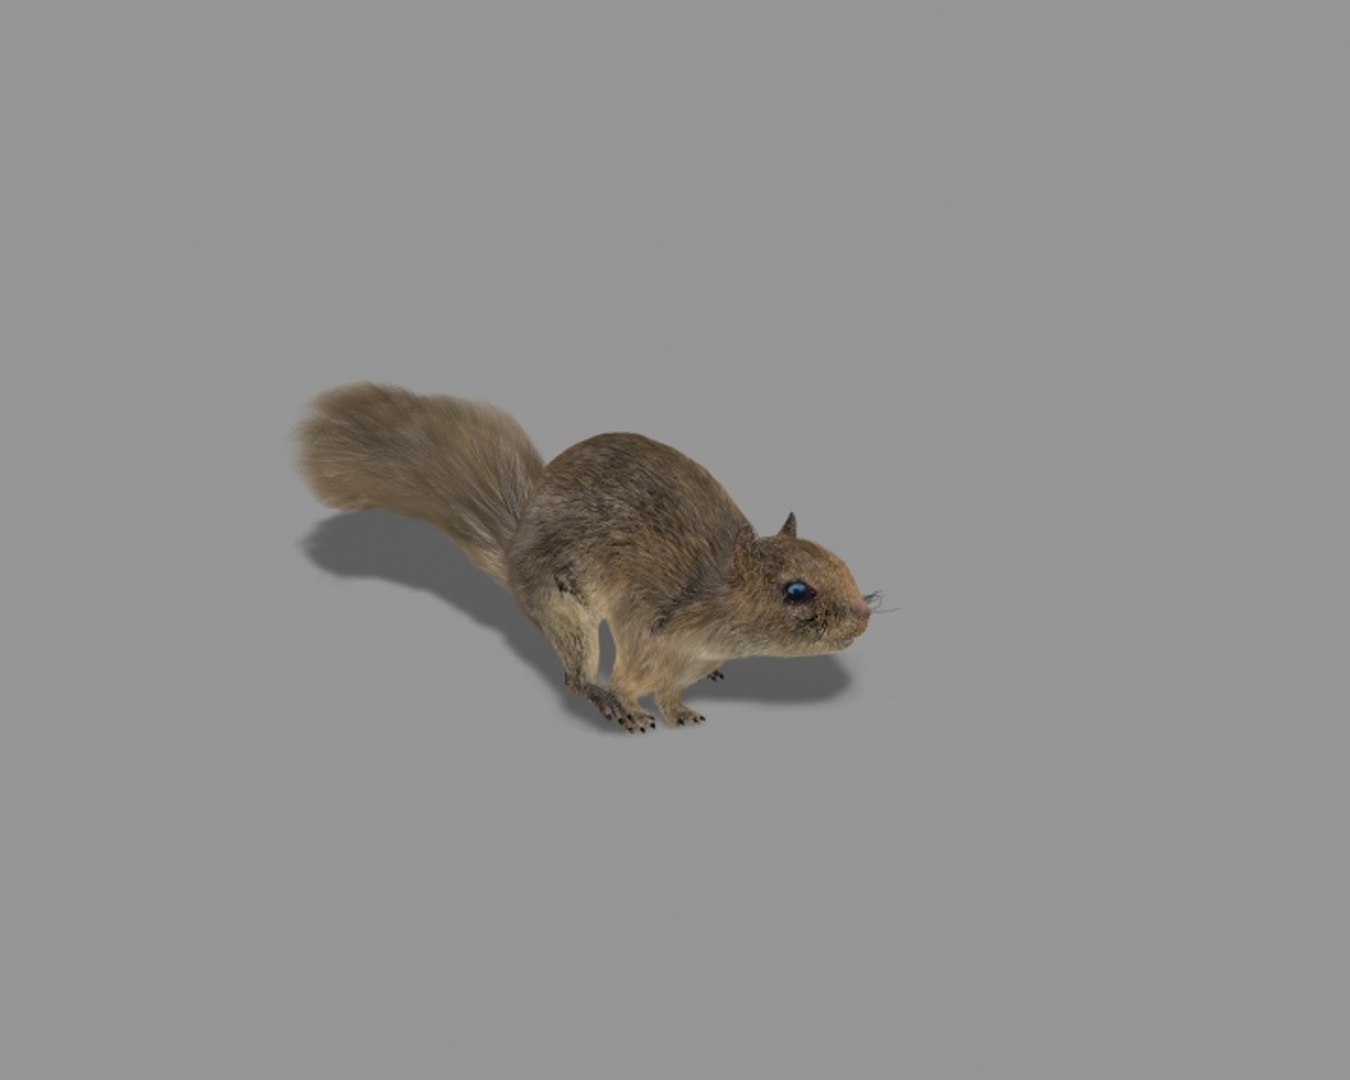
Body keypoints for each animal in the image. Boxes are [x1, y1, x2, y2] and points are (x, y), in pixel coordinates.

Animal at [297, 382, 872, 732]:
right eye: (796, 591)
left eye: (842, 563)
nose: (864, 617)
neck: (715, 626)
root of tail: (512, 552)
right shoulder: (646, 630)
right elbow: (632, 679)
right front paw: (629, 707)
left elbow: (672, 692)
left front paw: (681, 709)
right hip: (564, 609)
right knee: (575, 677)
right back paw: (601, 696)